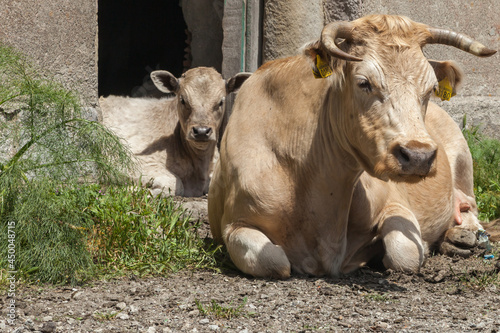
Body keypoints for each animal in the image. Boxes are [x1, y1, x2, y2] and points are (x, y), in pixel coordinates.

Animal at [208, 13, 496, 278]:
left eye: (430, 89)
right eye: (364, 83)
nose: (418, 156)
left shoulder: (396, 204)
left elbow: (404, 253)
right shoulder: (235, 224)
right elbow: (274, 262)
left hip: (462, 159)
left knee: (469, 205)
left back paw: (461, 235)